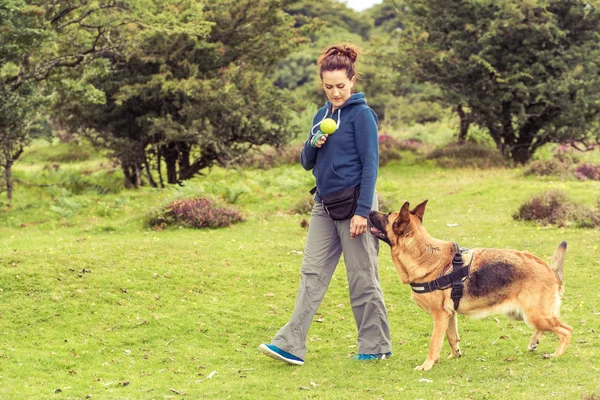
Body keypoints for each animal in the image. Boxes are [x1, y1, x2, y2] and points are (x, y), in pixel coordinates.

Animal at [368, 202, 576, 370]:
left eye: (387, 216)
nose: (368, 211)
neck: (425, 254)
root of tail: (550, 270)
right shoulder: (449, 315)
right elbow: (452, 338)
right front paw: (454, 355)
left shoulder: (439, 315)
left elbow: (434, 343)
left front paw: (427, 365)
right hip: (525, 315)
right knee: (549, 326)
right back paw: (534, 342)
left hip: (534, 315)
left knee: (566, 330)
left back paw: (556, 354)